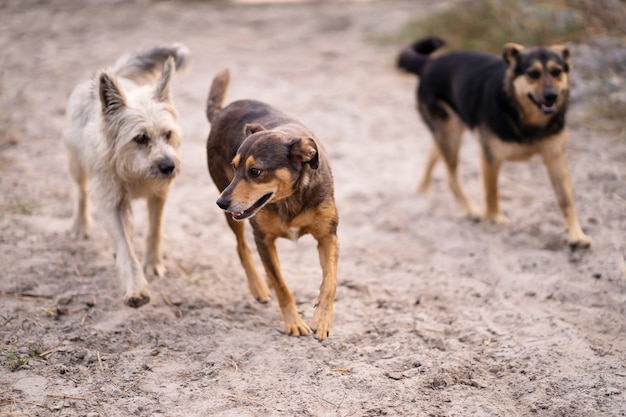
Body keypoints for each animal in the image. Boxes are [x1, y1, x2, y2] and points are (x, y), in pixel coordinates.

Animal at [63, 44, 191, 308]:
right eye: (140, 138)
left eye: (168, 134)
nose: (169, 166)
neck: (135, 173)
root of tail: (117, 74)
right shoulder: (113, 204)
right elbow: (126, 248)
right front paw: (136, 288)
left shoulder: (160, 196)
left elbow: (154, 231)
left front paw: (153, 263)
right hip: (76, 164)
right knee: (81, 192)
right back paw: (81, 224)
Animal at [205, 69, 338, 342]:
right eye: (235, 166)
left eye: (255, 171)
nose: (221, 202)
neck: (289, 199)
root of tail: (221, 111)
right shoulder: (263, 238)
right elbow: (281, 285)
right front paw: (294, 323)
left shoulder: (328, 235)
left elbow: (330, 281)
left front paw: (321, 319)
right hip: (235, 215)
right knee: (242, 247)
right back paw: (258, 285)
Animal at [394, 36, 588, 247]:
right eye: (532, 74)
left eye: (557, 72)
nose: (551, 96)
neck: (526, 117)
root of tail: (429, 63)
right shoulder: (490, 157)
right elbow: (491, 191)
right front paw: (494, 218)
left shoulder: (555, 158)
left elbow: (566, 200)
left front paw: (576, 235)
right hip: (450, 133)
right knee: (451, 176)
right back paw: (471, 209)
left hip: (450, 130)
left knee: (434, 152)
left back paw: (424, 187)